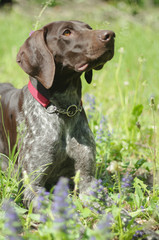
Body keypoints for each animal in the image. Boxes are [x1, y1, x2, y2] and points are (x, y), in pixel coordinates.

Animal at [0, 20, 115, 208]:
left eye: (89, 28)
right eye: (66, 32)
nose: (110, 35)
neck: (63, 109)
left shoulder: (88, 180)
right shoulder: (33, 186)